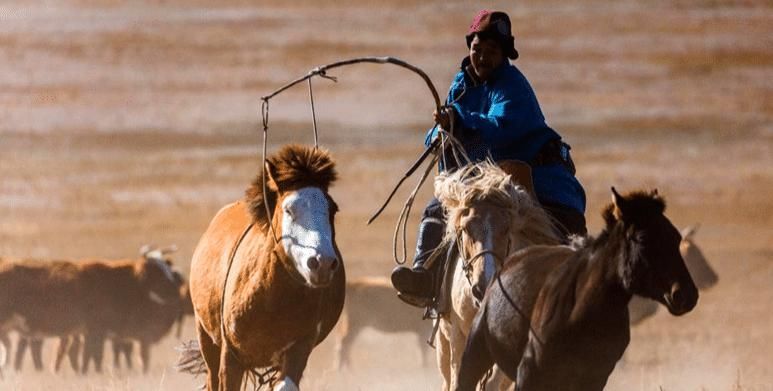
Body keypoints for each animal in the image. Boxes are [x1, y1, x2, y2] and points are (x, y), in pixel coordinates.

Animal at [187, 145, 344, 391]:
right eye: (289, 210)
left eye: (333, 210)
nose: (322, 263)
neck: (270, 298)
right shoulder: (230, 356)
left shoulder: (298, 348)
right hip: (206, 338)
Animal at [456, 188, 696, 390]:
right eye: (643, 239)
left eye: (675, 236)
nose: (686, 294)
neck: (581, 310)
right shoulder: (529, 373)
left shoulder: (593, 378)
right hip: (474, 352)